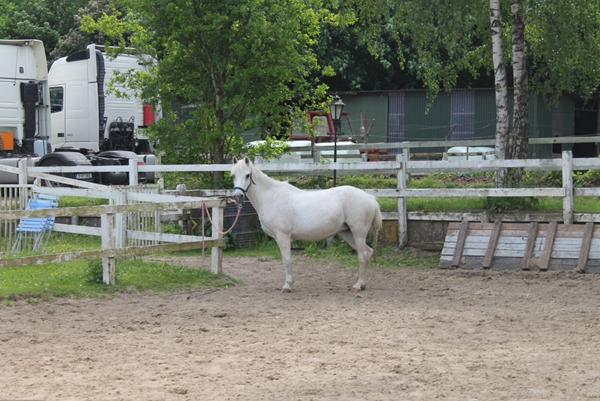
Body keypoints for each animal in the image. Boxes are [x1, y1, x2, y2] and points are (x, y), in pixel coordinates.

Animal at [232, 156, 382, 290]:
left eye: (247, 175)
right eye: (233, 175)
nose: (238, 196)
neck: (271, 197)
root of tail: (370, 198)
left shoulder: (283, 236)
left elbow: (287, 259)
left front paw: (287, 285)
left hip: (358, 233)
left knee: (362, 255)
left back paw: (358, 285)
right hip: (347, 233)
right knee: (368, 252)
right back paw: (361, 282)